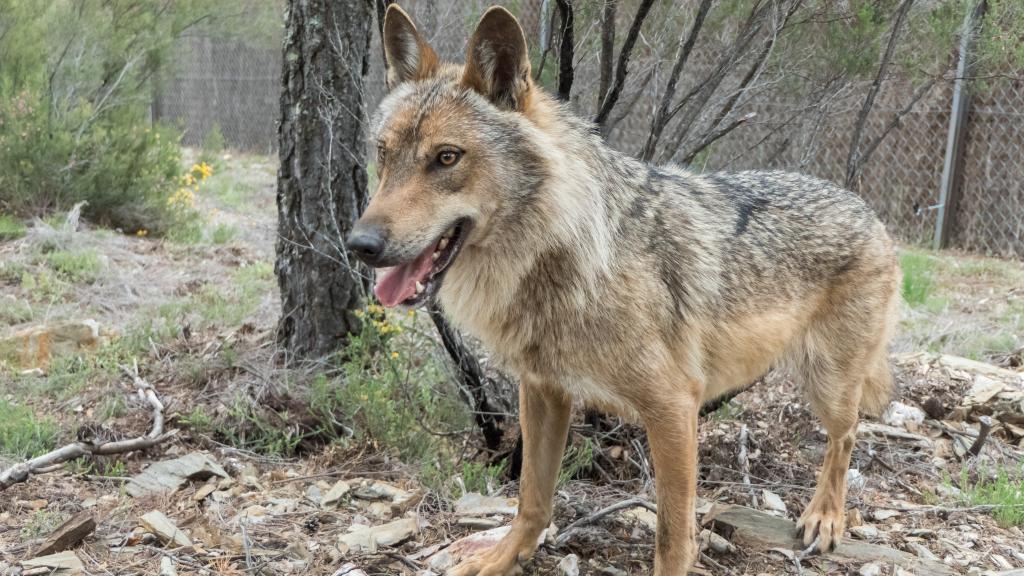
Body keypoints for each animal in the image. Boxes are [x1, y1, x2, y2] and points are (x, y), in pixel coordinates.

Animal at [346, 5, 901, 575]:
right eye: (383, 154)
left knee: (846, 437)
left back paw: (824, 519)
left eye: (446, 158)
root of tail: (868, 209)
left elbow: (673, 536)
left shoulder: (673, 407)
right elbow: (532, 499)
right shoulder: (543, 390)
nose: (360, 244)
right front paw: (502, 557)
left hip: (827, 384)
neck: (568, 259)